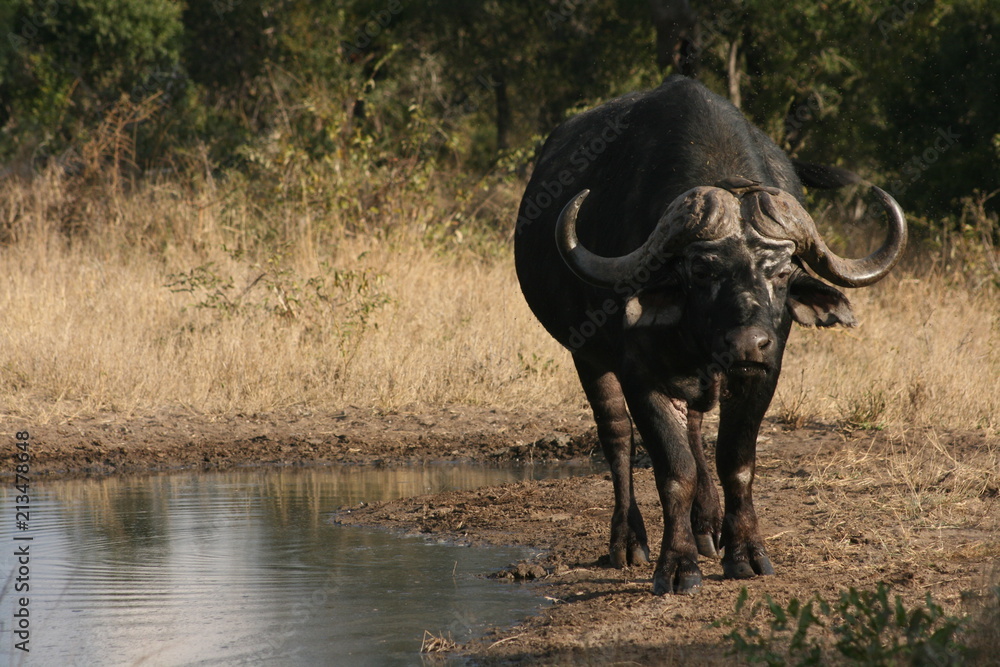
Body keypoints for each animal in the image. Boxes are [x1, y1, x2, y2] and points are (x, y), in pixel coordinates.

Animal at [514, 76, 906, 594]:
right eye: (701, 270)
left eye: (782, 272)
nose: (747, 344)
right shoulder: (641, 377)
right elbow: (672, 469)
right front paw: (677, 565)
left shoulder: (762, 374)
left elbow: (735, 462)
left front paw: (745, 553)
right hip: (587, 357)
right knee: (617, 437)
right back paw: (628, 541)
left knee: (697, 432)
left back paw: (707, 526)